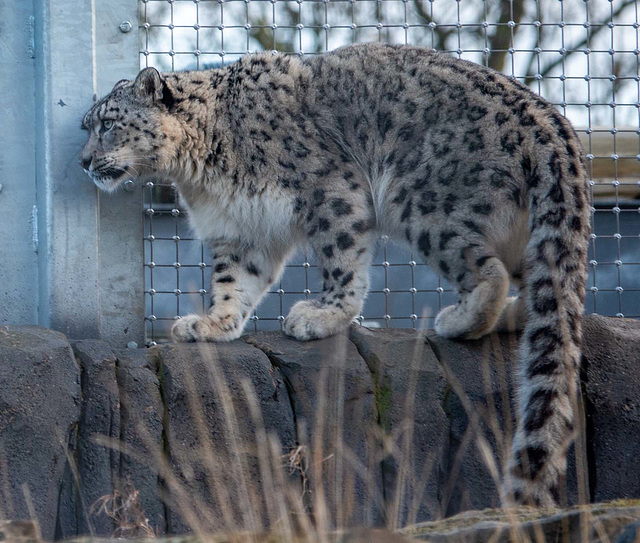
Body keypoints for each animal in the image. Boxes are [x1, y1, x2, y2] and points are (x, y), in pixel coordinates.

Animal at [80, 44, 592, 508]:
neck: (201, 172)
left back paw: (461, 320)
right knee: (547, 289)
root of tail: (552, 121)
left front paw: (323, 316)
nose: (83, 161)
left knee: (488, 270)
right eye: (88, 127)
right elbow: (233, 283)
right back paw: (512, 316)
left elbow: (342, 260)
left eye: (107, 123)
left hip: (422, 200)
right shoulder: (243, 233)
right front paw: (212, 324)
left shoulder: (331, 192)